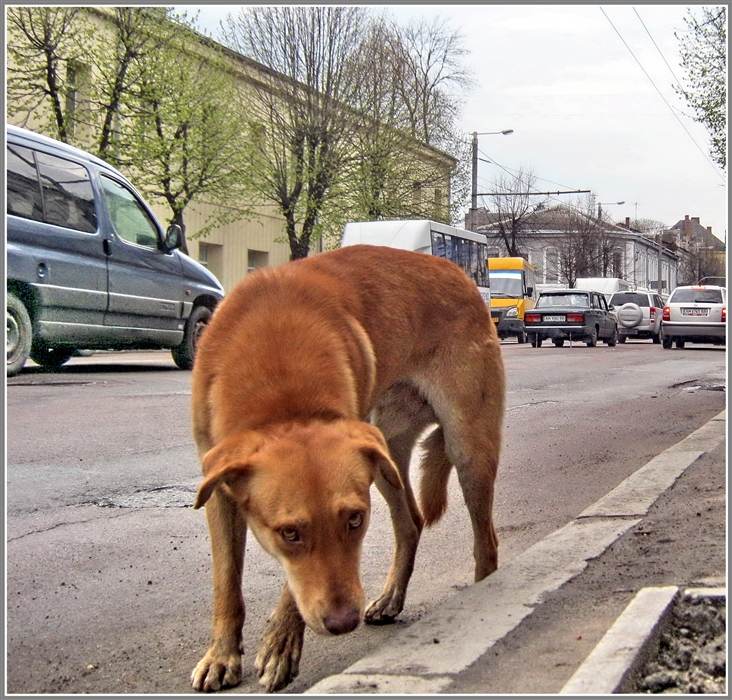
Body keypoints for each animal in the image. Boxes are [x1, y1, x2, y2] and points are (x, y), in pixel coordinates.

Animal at [189, 243, 504, 692]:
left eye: (355, 520)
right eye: (289, 533)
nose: (343, 622)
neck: (281, 388)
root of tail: (460, 275)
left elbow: (291, 588)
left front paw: (281, 642)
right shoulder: (218, 489)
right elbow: (226, 582)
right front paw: (221, 654)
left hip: (468, 448)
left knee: (486, 541)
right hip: (385, 454)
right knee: (410, 521)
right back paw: (391, 596)